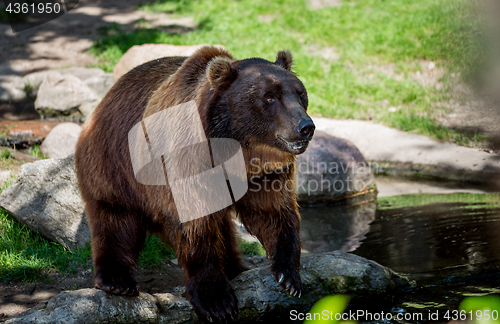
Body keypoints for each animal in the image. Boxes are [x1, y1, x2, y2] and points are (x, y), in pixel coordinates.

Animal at [74, 45, 314, 322]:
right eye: (269, 97)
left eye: (300, 93)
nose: (306, 126)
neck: (236, 154)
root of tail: (105, 99)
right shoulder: (188, 162)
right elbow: (195, 227)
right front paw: (216, 302)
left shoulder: (266, 173)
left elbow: (273, 212)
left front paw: (289, 277)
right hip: (114, 162)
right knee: (114, 219)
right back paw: (116, 281)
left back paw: (235, 267)